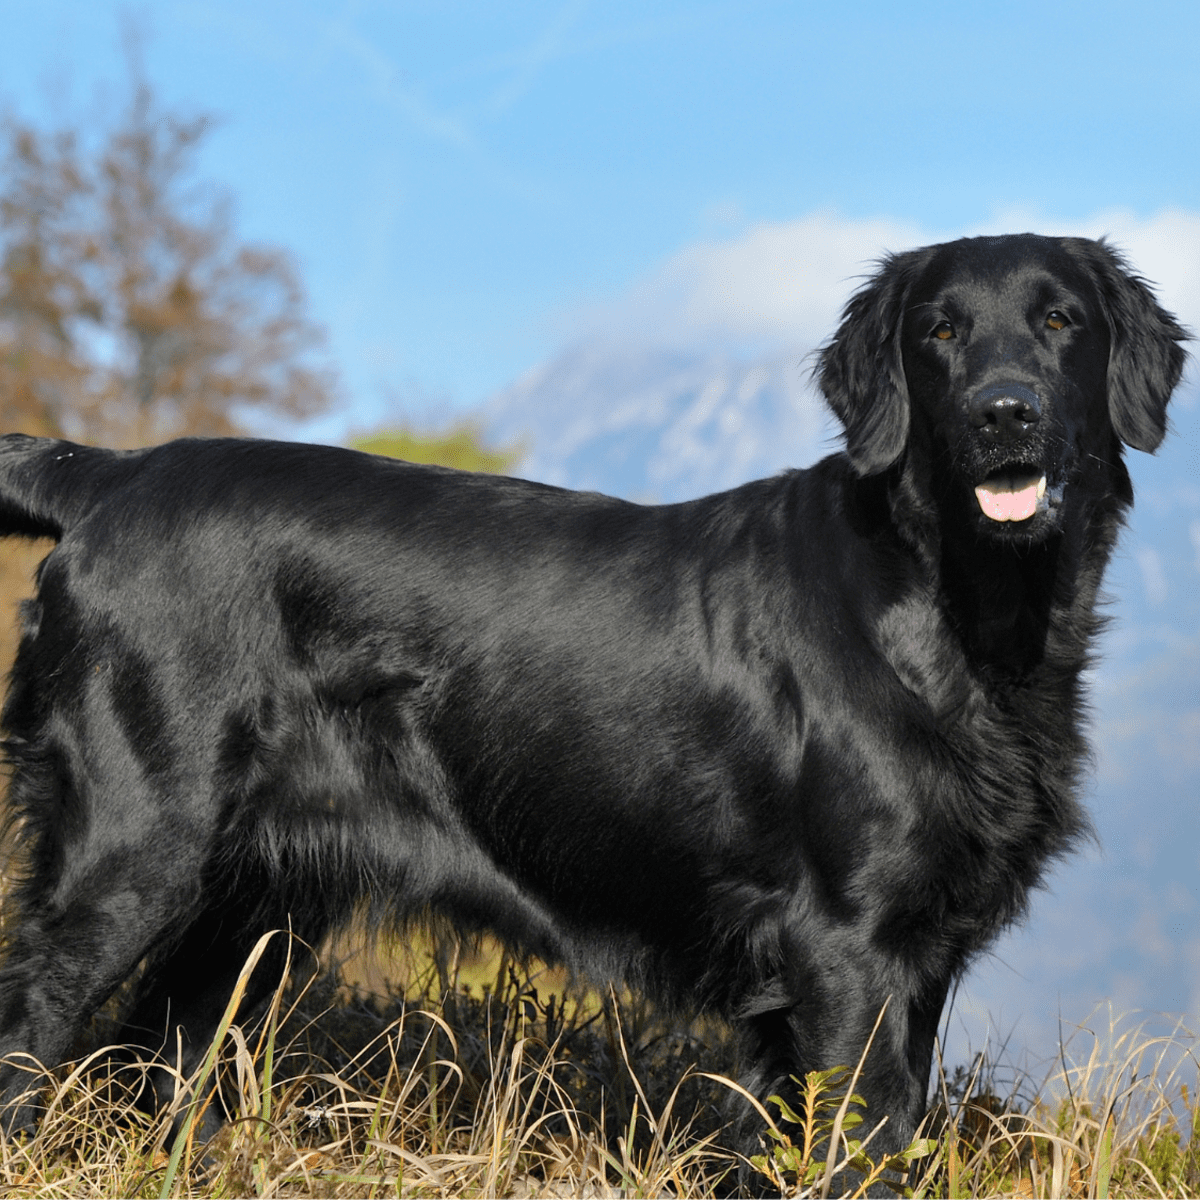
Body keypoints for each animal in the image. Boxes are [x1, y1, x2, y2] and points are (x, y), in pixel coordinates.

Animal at [0, 231, 1185, 1161]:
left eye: (1060, 320)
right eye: (938, 332)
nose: (1003, 415)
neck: (955, 608)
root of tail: (111, 474)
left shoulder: (918, 956)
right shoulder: (848, 948)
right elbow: (860, 1144)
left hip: (257, 896)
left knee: (161, 1049)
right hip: (133, 851)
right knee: (36, 1017)